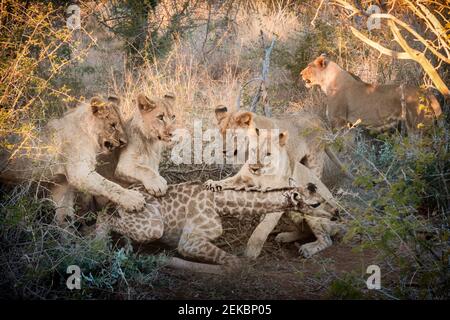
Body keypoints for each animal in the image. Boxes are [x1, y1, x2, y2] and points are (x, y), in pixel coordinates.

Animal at [0, 96, 146, 226]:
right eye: (113, 125)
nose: (124, 142)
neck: (87, 132)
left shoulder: (61, 183)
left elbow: (64, 216)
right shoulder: (79, 172)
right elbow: (108, 185)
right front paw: (133, 199)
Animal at [96, 182, 334, 272]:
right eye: (316, 203)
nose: (335, 213)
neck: (221, 204)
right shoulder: (189, 240)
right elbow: (235, 263)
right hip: (153, 227)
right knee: (103, 217)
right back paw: (98, 247)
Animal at [300, 54, 442, 132]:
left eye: (309, 66)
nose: (300, 74)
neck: (328, 83)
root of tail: (424, 91)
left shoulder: (338, 121)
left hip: (418, 126)